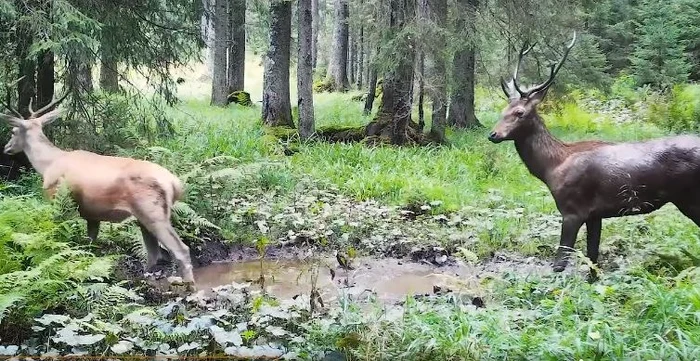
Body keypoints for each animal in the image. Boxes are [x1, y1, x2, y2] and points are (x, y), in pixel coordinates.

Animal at [2, 95, 196, 286]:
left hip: (153, 213)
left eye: (13, 131)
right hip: (145, 218)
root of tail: (175, 184)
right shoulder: (92, 214)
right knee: (155, 254)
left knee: (181, 250)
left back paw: (186, 283)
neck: (48, 163)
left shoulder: (56, 199)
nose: (6, 148)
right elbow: (90, 246)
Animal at [490, 32, 700, 274]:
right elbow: (593, 260)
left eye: (519, 112)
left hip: (690, 197)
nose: (493, 134)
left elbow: (560, 263)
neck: (551, 167)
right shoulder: (594, 215)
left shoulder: (571, 210)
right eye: (503, 110)